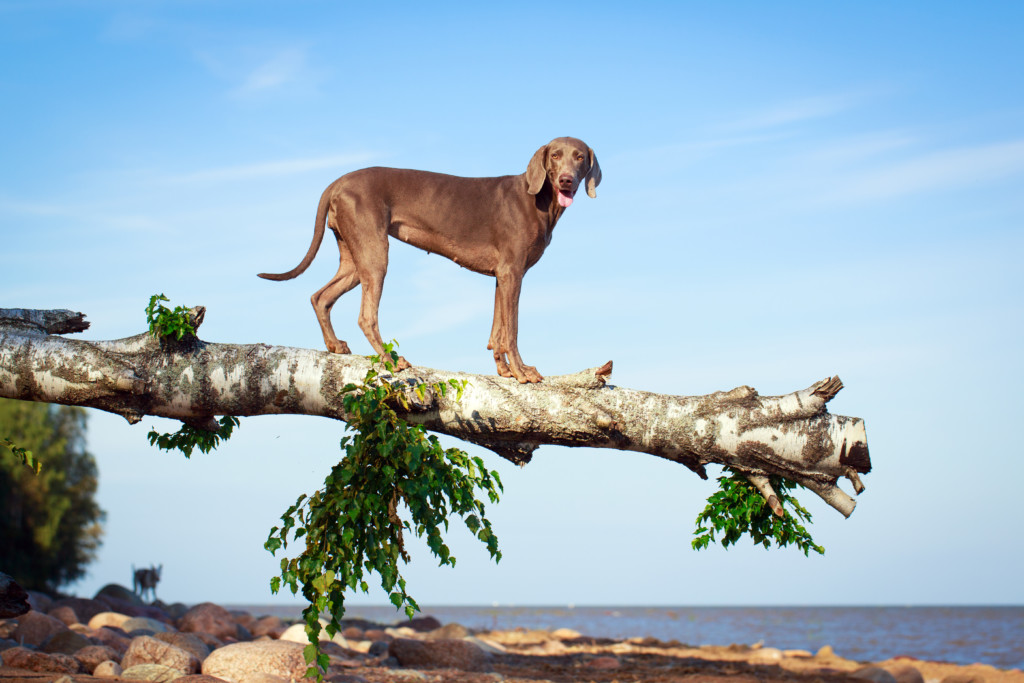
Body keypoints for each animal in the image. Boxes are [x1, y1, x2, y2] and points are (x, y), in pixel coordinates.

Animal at [256, 137, 602, 385]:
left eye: (579, 156)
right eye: (555, 155)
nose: (567, 180)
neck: (539, 199)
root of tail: (336, 183)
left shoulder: (501, 277)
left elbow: (497, 332)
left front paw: (504, 370)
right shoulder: (512, 272)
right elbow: (512, 330)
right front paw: (522, 371)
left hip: (354, 260)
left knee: (320, 296)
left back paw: (335, 345)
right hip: (375, 255)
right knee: (366, 316)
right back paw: (391, 360)